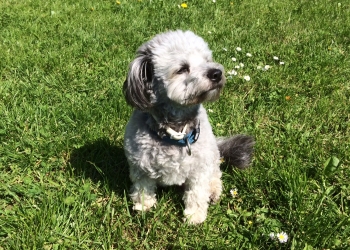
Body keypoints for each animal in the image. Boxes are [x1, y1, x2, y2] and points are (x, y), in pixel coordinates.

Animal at [121, 30, 253, 224]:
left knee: (216, 174)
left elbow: (196, 194)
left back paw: (213, 190)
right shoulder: (140, 167)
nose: (216, 73)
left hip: (212, 156)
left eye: (207, 59)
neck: (175, 133)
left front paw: (194, 217)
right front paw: (143, 206)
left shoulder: (199, 169)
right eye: (182, 68)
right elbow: (143, 188)